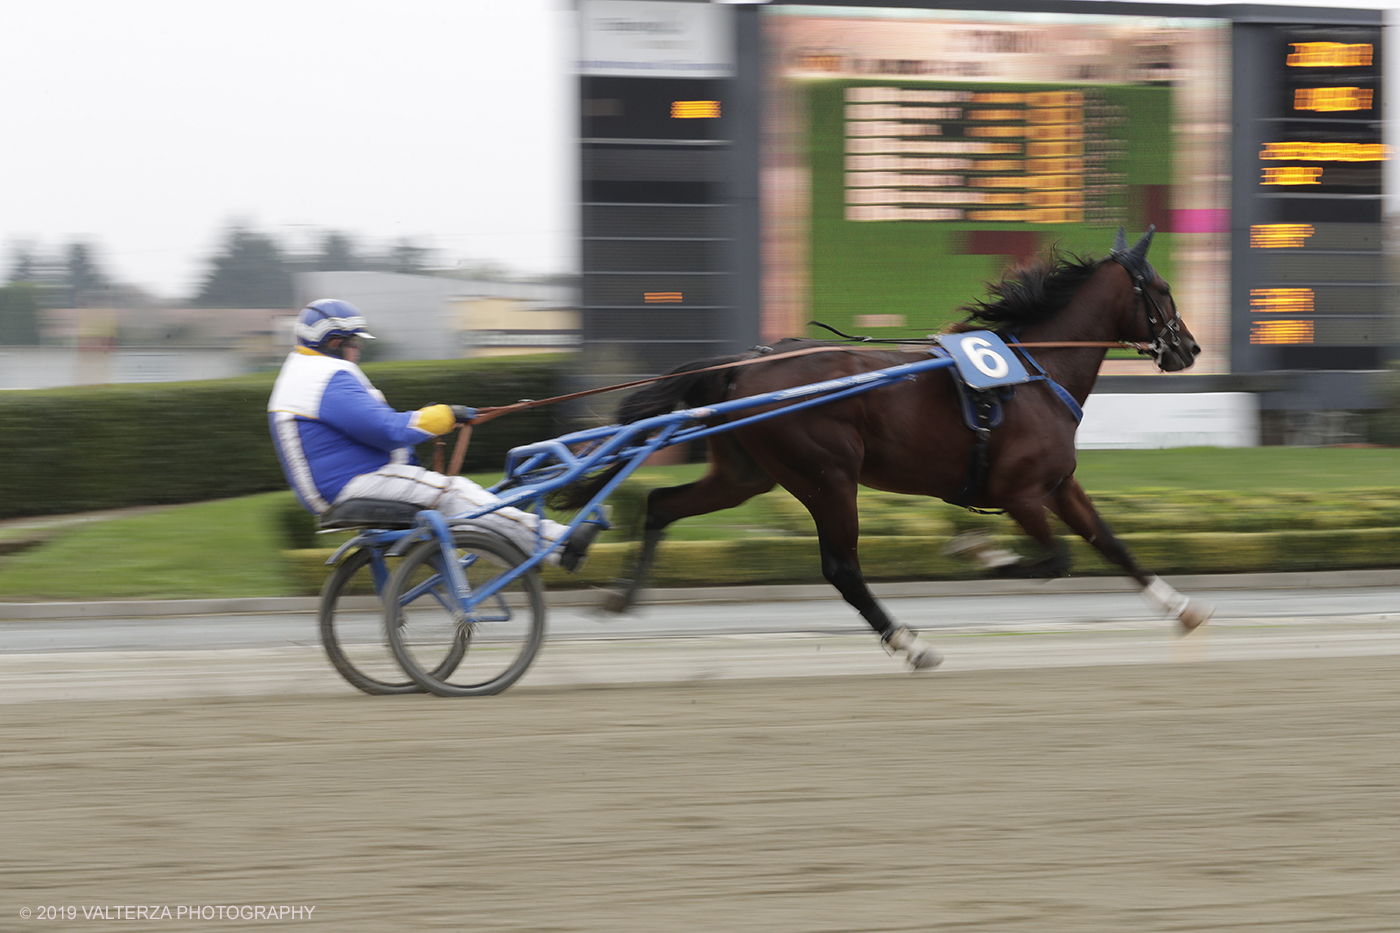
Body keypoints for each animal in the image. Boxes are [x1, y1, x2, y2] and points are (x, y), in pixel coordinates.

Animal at [557, 226, 1215, 669]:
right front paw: (978, 551)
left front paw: (1182, 607)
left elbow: (1111, 543)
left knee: (661, 505)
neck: (1035, 372)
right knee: (842, 568)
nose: (1190, 348)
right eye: (1161, 288)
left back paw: (620, 596)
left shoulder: (1058, 485)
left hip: (746, 473)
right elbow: (1055, 559)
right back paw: (908, 641)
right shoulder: (1020, 492)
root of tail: (744, 365)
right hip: (827, 475)